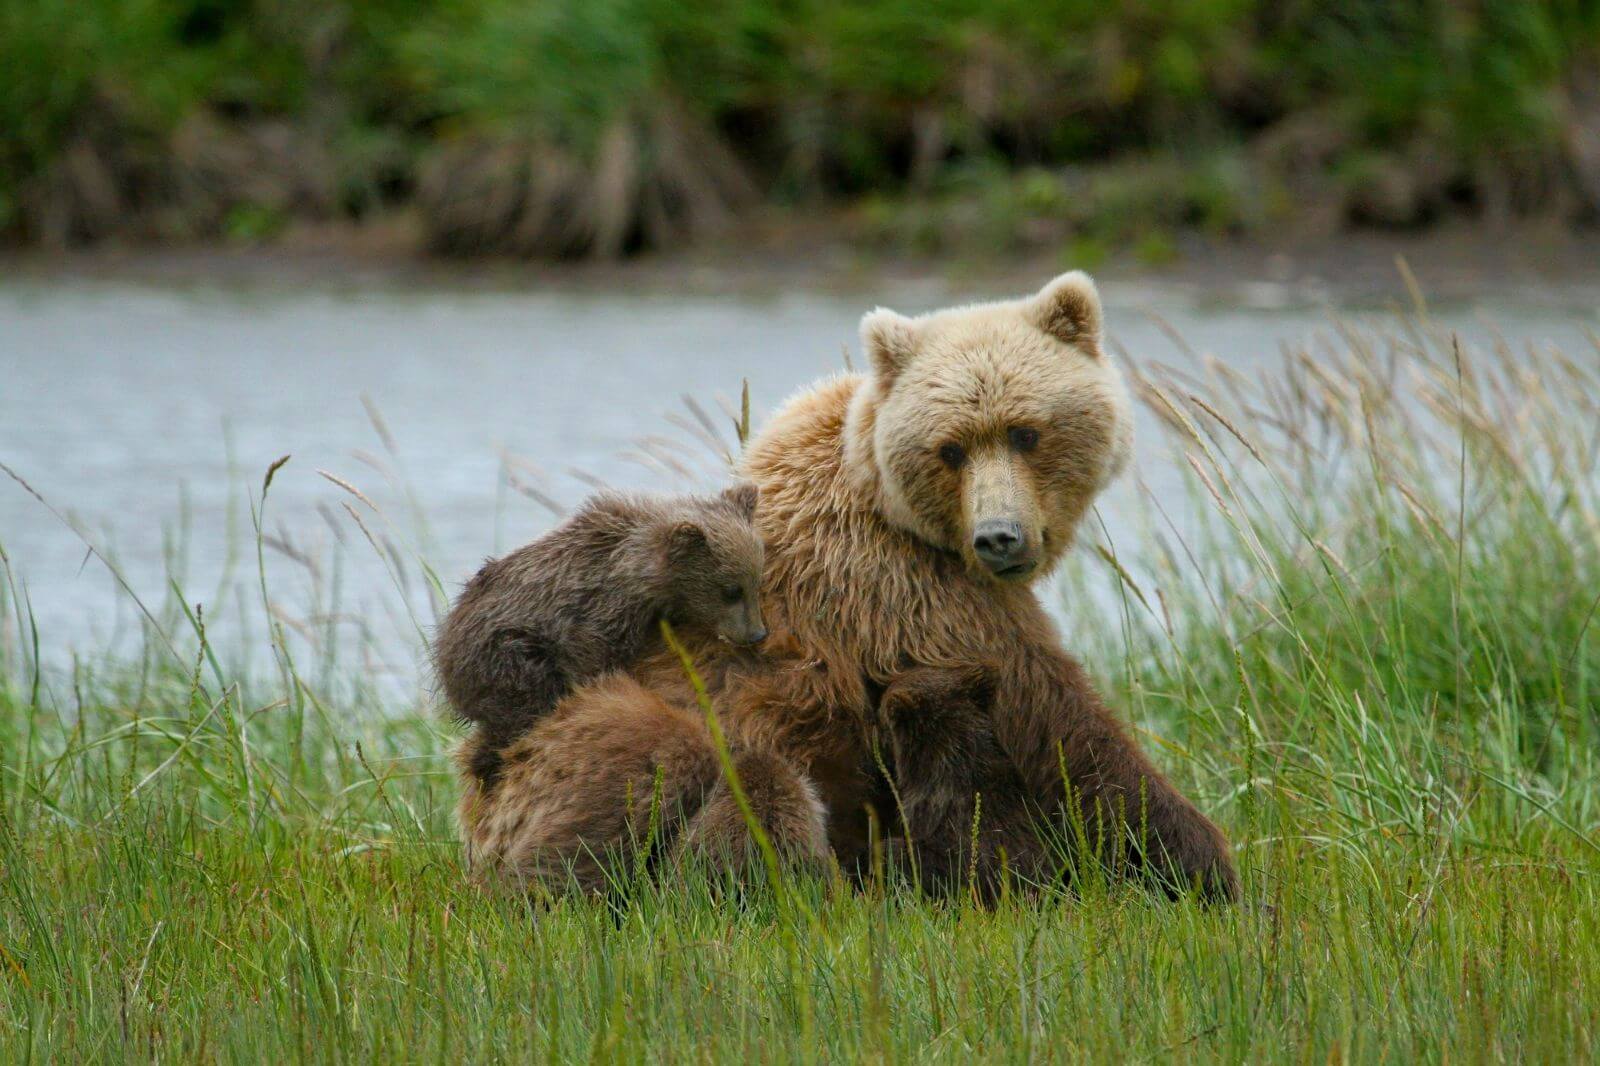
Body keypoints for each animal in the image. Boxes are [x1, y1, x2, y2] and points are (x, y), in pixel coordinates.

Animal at [433, 483, 768, 791]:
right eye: (731, 590)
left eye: (756, 582)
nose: (757, 634)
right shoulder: (598, 611)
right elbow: (593, 659)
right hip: (506, 653)